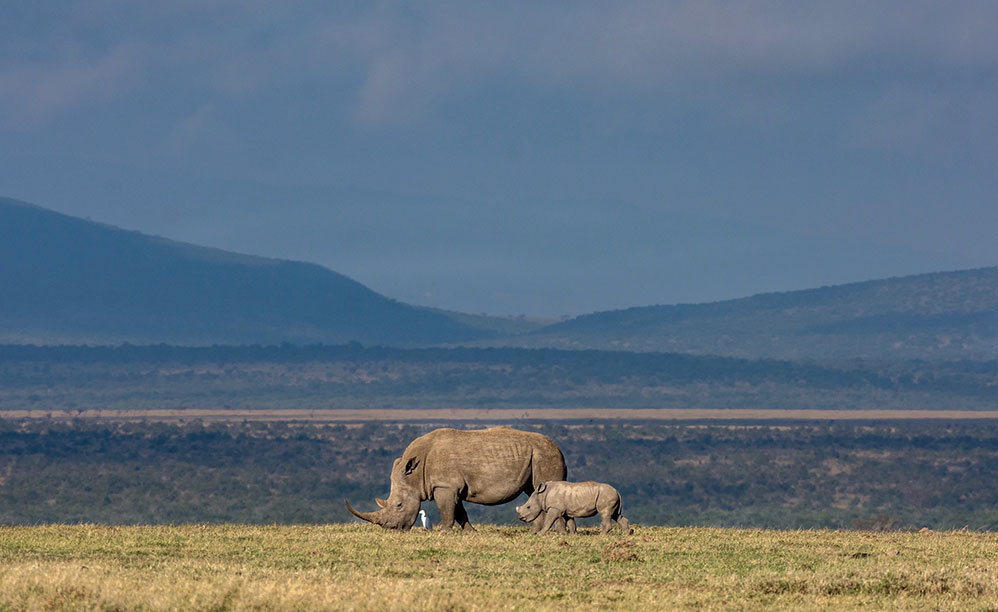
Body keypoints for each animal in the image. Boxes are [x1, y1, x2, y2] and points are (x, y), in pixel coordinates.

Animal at [345, 426, 569, 532]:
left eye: (399, 505)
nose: (392, 529)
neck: (415, 474)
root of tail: (558, 447)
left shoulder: (444, 486)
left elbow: (447, 510)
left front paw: (443, 531)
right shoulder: (452, 486)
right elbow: (460, 511)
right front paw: (471, 532)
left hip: (545, 454)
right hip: (538, 454)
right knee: (535, 491)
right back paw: (537, 532)